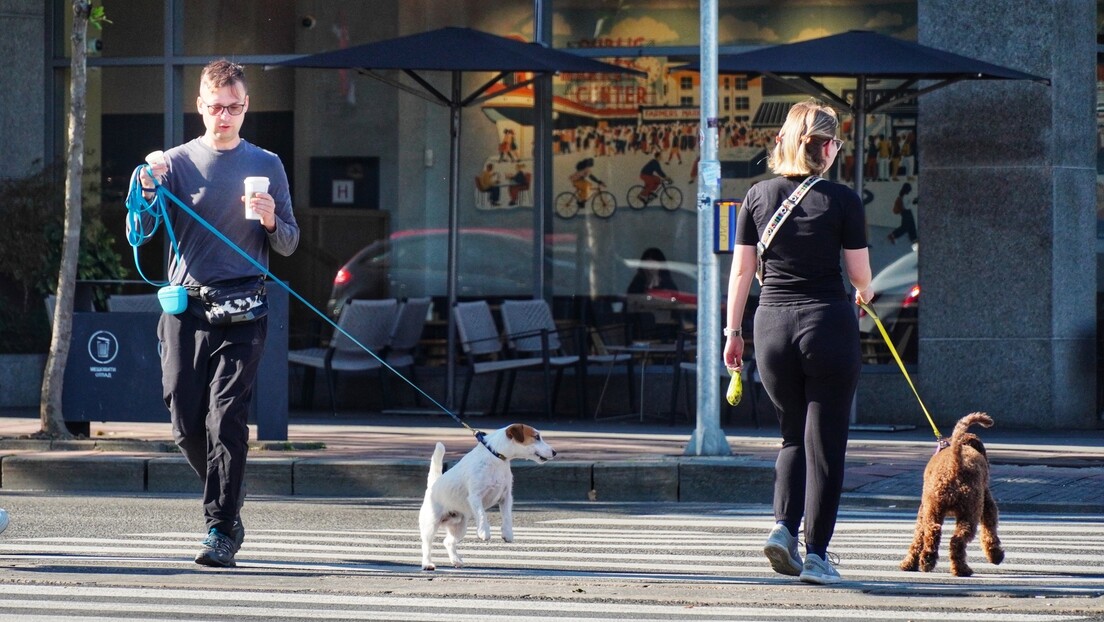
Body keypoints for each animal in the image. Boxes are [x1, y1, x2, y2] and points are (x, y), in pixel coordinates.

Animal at [417, 426, 556, 570]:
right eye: (536, 437)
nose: (555, 452)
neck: (497, 457)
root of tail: (433, 485)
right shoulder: (475, 496)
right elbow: (482, 514)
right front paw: (484, 532)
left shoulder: (506, 497)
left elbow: (507, 517)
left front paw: (507, 534)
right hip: (430, 524)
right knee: (426, 545)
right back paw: (427, 563)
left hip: (459, 527)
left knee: (448, 542)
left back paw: (456, 560)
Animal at [900, 413, 1006, 578]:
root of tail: (954, 465)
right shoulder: (987, 504)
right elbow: (989, 530)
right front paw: (995, 555)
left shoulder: (922, 512)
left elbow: (917, 538)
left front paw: (909, 564)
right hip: (970, 511)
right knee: (957, 540)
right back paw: (961, 569)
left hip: (933, 509)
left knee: (932, 531)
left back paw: (927, 561)